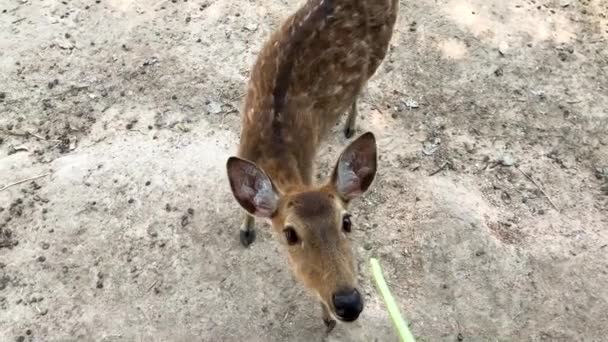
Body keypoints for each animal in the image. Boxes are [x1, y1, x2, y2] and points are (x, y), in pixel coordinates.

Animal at [224, 0, 400, 332]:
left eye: (347, 221)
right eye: (290, 234)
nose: (348, 303)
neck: (273, 150)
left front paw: (325, 318)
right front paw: (246, 232)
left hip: (380, 53)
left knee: (359, 89)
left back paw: (349, 125)